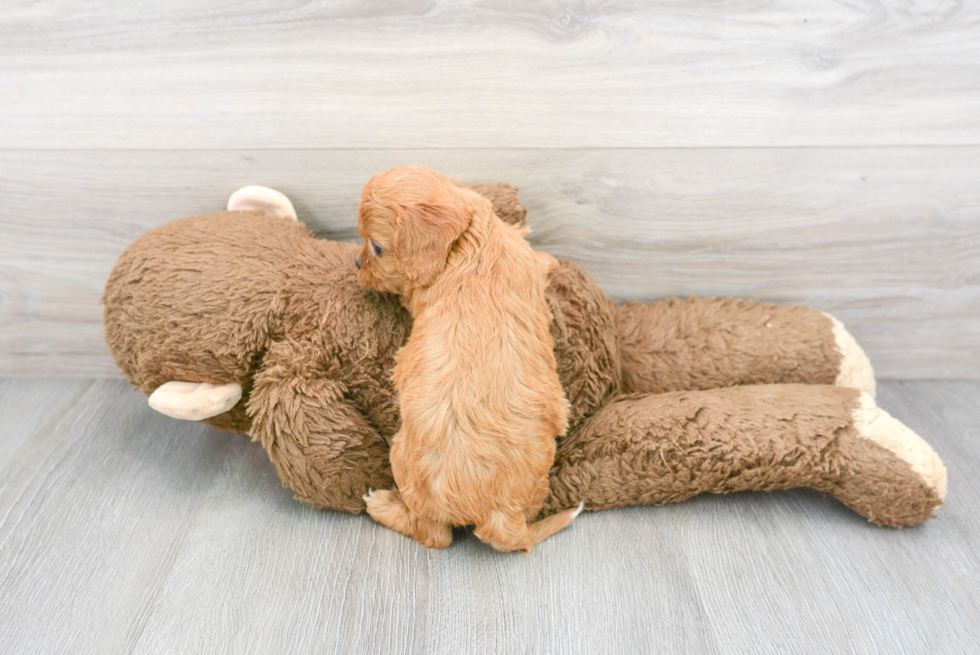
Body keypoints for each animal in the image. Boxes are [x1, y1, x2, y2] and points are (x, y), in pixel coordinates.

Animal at [356, 165, 580, 552]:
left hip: (403, 460)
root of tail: (499, 515)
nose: (357, 263)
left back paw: (381, 504)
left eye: (378, 247)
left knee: (434, 535)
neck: (470, 242)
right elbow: (543, 261)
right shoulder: (525, 254)